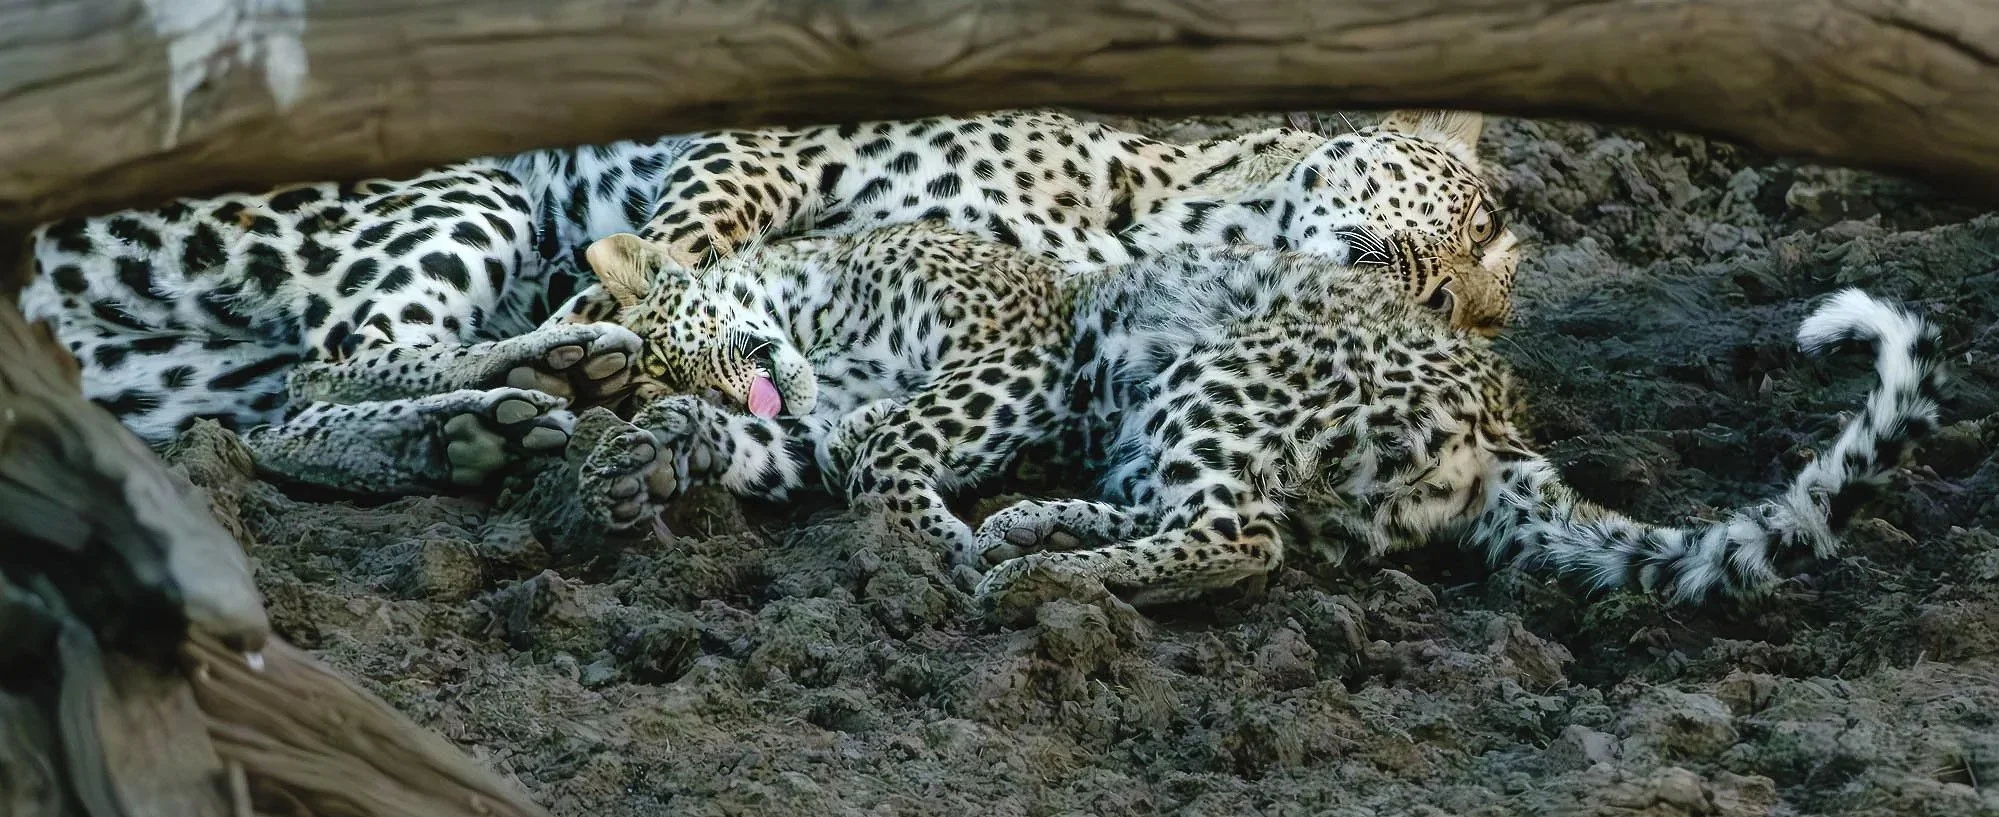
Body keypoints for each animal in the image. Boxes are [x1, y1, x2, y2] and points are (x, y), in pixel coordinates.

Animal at [20, 107, 1513, 496]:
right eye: (1462, 226)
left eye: (1473, 313)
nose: (1440, 304)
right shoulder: (765, 147)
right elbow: (673, 253)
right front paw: (628, 320)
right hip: (457, 180)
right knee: (328, 373)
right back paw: (529, 385)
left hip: (183, 367)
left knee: (279, 405)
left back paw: (493, 420)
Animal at [963, 245, 1945, 618]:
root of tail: (1496, 426)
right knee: (1203, 517)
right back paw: (1027, 529)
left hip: (1215, 382)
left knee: (1234, 536)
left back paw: (1030, 575)